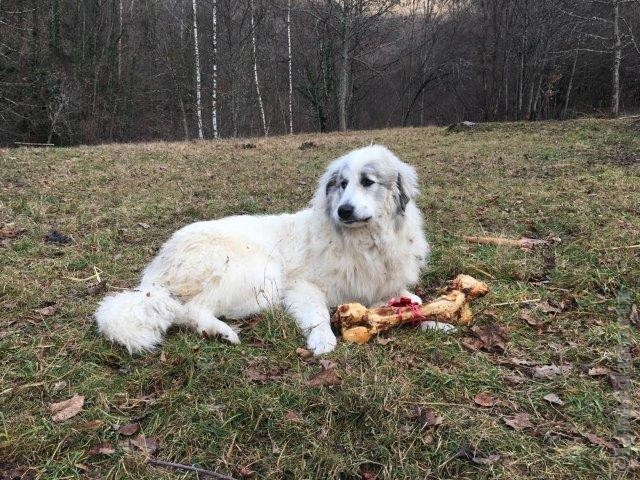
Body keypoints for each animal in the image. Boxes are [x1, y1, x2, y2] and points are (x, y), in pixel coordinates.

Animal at [95, 144, 442, 354]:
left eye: (367, 182)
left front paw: (431, 318)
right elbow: (318, 313)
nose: (343, 211)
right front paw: (322, 340)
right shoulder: (302, 286)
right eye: (343, 184)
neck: (364, 241)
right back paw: (220, 331)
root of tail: (157, 269)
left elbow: (404, 304)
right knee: (187, 310)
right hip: (260, 274)